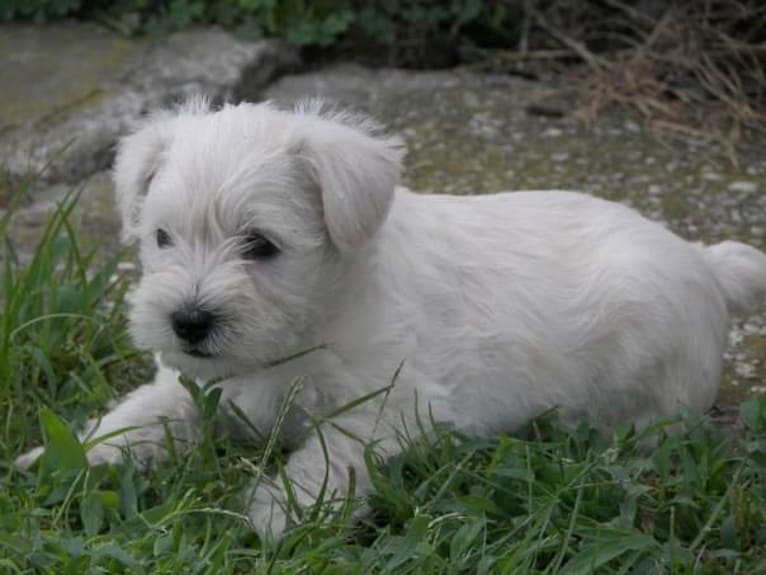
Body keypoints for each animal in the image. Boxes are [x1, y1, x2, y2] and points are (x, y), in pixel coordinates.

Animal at [16, 100, 766, 540]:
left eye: (261, 245)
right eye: (162, 238)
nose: (188, 321)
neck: (305, 327)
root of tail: (702, 259)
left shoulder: (393, 403)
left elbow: (329, 453)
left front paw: (282, 514)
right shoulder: (194, 384)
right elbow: (140, 414)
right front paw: (66, 457)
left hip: (654, 370)